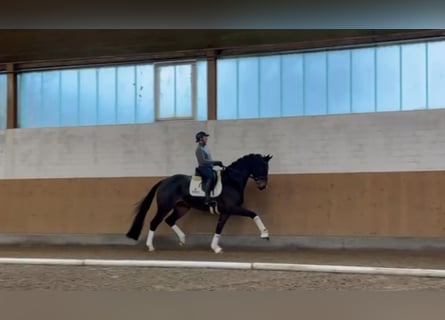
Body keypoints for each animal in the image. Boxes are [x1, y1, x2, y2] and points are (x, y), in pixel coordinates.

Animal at [125, 154, 270, 254]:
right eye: (262, 166)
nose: (262, 186)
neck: (232, 181)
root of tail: (164, 181)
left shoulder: (226, 211)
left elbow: (219, 228)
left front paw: (216, 248)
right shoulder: (232, 208)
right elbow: (253, 214)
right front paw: (265, 234)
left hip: (182, 208)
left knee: (169, 220)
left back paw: (182, 239)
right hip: (164, 207)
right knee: (154, 222)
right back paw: (151, 246)